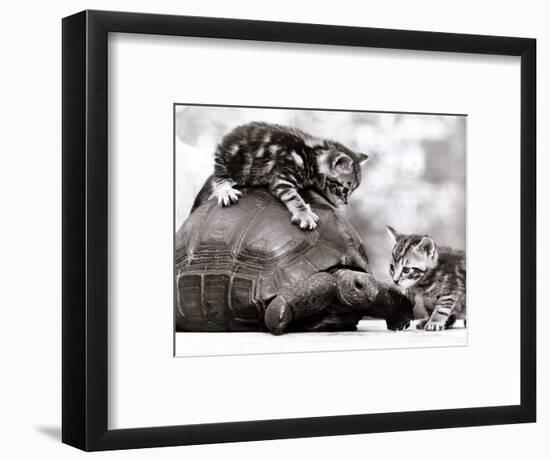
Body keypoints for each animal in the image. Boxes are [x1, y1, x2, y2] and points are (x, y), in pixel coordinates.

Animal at [194, 122, 370, 230]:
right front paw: (304, 214)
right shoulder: (282, 177)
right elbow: (293, 197)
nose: (346, 202)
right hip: (229, 160)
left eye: (352, 190)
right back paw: (225, 190)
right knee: (219, 176)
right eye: (345, 189)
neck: (312, 154)